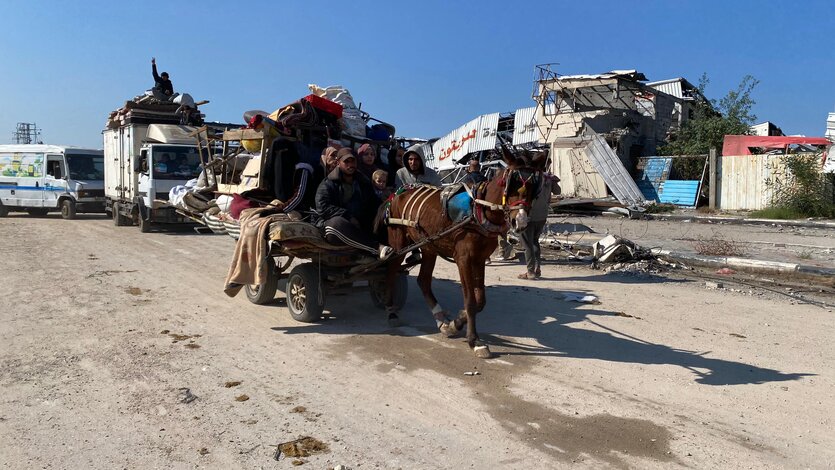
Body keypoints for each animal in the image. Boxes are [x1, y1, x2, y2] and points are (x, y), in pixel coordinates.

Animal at [378, 145, 548, 358]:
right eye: (510, 184)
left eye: (535, 188)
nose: (521, 221)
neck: (479, 211)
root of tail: (397, 193)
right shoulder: (464, 259)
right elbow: (470, 300)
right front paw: (474, 341)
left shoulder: (480, 258)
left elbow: (480, 300)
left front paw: (455, 323)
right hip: (399, 242)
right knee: (391, 270)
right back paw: (391, 310)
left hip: (429, 246)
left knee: (423, 281)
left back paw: (440, 319)